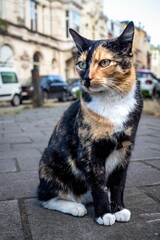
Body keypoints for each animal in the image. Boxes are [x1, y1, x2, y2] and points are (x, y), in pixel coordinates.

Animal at [37, 21, 142, 226]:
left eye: (105, 62)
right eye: (81, 64)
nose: (86, 78)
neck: (112, 101)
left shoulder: (125, 149)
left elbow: (118, 182)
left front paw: (118, 209)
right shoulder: (89, 151)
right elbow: (98, 186)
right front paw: (104, 214)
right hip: (48, 163)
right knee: (45, 197)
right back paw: (75, 207)